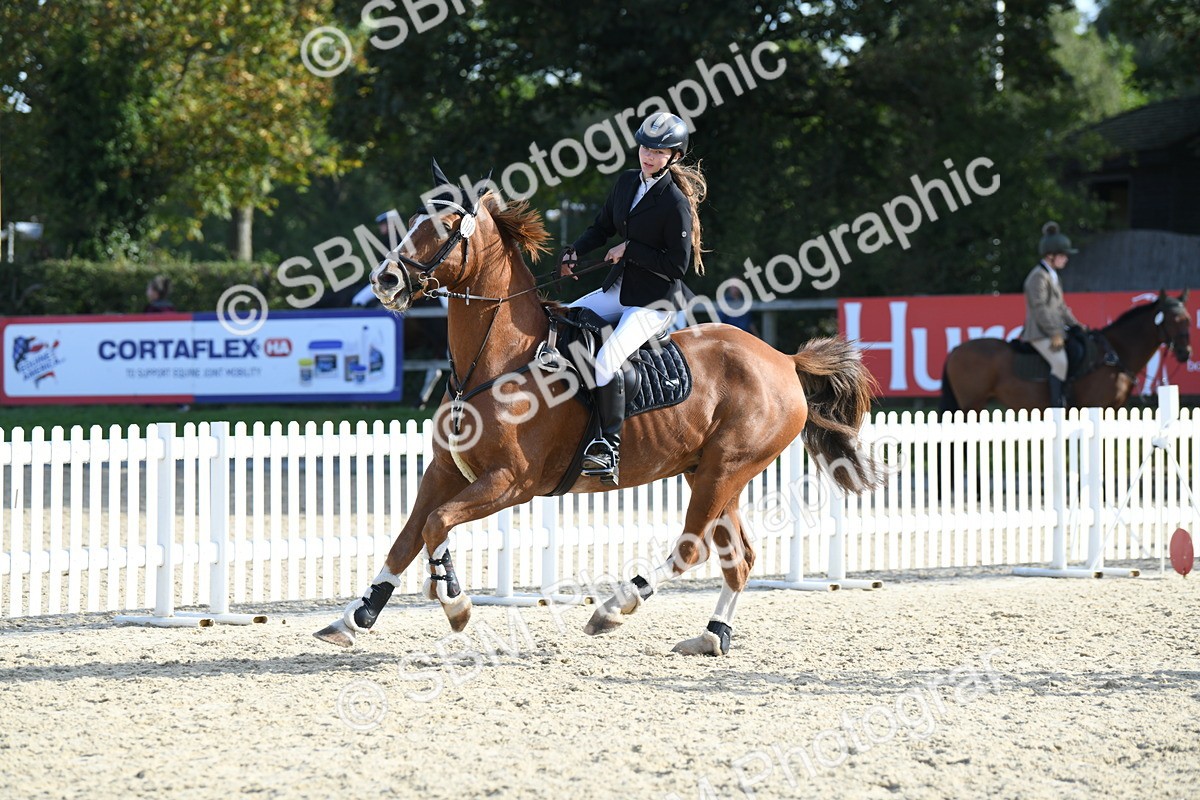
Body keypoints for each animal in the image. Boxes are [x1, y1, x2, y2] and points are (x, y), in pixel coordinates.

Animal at [313, 167, 883, 656]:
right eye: (412, 223)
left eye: (447, 228)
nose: (386, 280)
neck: (500, 360)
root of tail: (783, 359)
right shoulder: (444, 470)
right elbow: (407, 538)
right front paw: (355, 617)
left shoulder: (511, 482)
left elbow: (436, 524)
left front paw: (455, 602)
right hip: (714, 473)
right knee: (737, 559)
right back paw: (711, 635)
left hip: (725, 469)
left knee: (692, 549)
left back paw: (614, 607)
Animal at [940, 290, 1192, 412]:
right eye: (1173, 320)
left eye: (1188, 319)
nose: (1186, 353)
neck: (1114, 355)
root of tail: (956, 349)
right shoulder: (1095, 407)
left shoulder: (1113, 408)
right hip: (971, 404)